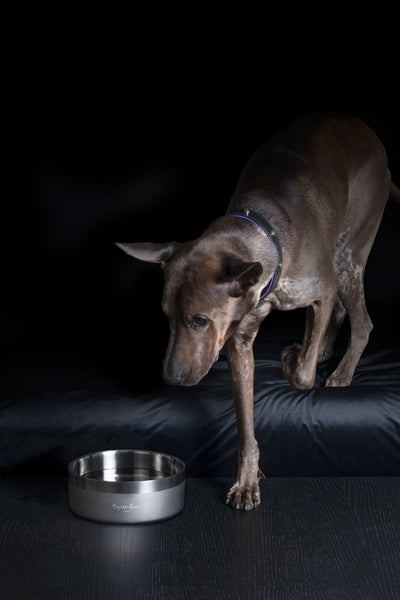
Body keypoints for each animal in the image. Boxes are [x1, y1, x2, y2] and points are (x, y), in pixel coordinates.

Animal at [117, 113, 398, 510]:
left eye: (199, 320)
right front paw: (247, 479)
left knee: (362, 321)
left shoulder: (322, 290)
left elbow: (303, 375)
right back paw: (325, 349)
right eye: (166, 318)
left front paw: (292, 361)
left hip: (348, 257)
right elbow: (246, 423)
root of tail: (365, 130)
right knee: (340, 316)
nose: (170, 378)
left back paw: (341, 371)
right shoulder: (238, 341)